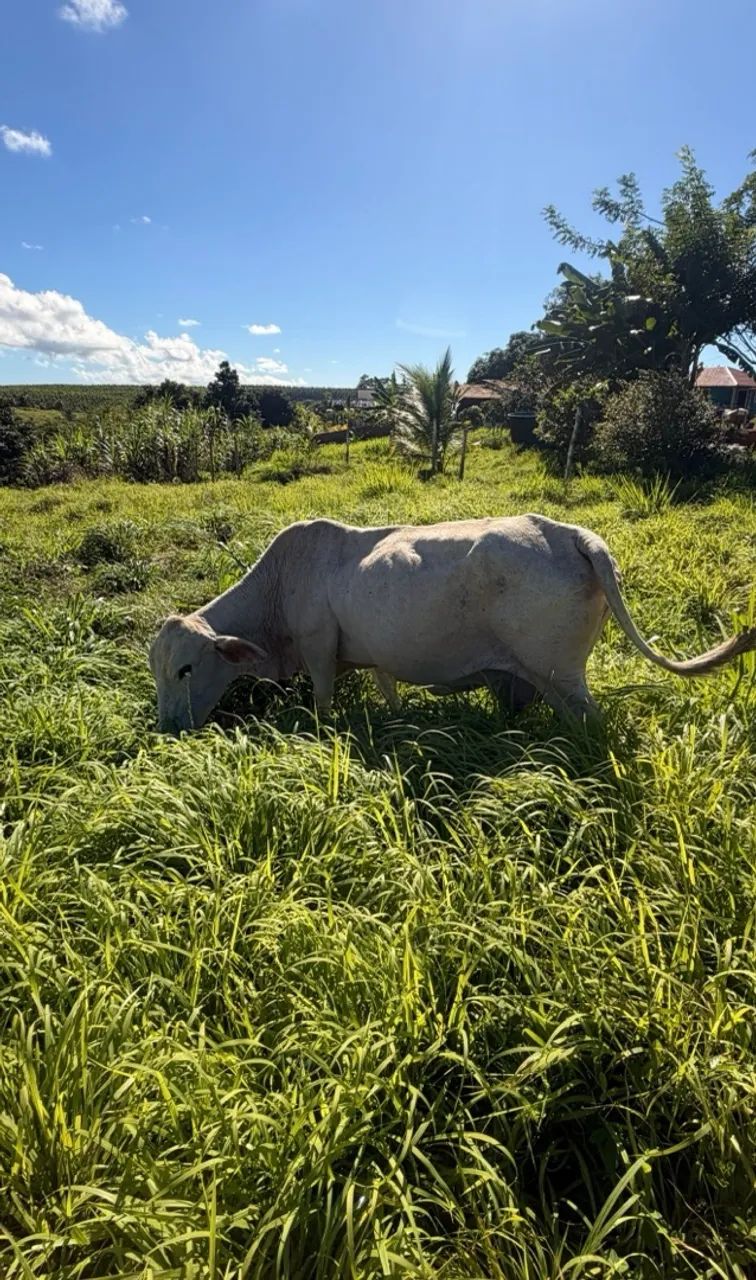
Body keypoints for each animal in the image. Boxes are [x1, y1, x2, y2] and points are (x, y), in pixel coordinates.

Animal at [149, 514, 756, 733]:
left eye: (184, 670)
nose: (166, 728)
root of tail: (571, 534)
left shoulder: (318, 650)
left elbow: (321, 705)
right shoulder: (375, 659)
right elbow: (389, 692)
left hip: (562, 675)